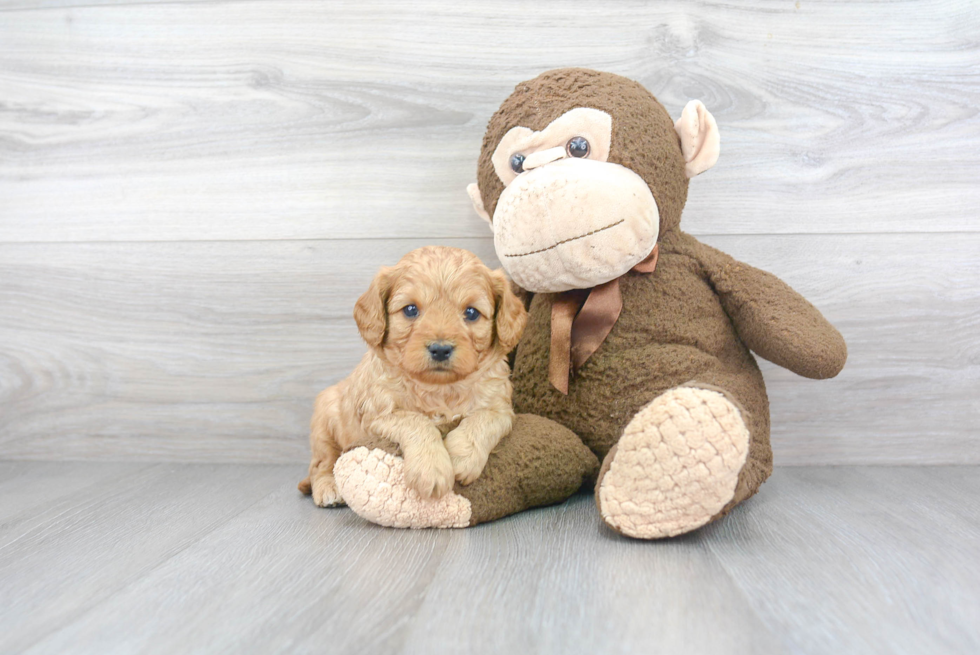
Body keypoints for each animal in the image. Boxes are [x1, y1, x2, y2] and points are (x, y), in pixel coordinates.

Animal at [298, 246, 528, 508]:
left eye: (471, 313)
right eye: (410, 309)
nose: (440, 349)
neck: (441, 388)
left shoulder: (501, 408)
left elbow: (483, 420)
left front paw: (462, 457)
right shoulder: (378, 414)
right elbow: (416, 421)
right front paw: (432, 469)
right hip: (324, 421)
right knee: (321, 463)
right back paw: (328, 488)